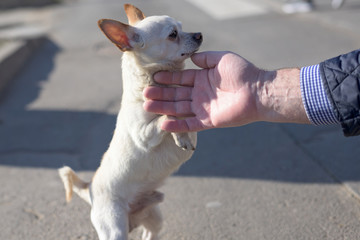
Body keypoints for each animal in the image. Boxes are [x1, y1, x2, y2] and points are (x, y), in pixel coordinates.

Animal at [57, 4, 201, 240]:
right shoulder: (144, 134)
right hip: (114, 228)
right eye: (173, 34)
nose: (199, 35)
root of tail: (90, 189)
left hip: (154, 218)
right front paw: (182, 137)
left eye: (182, 26)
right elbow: (166, 116)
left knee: (149, 233)